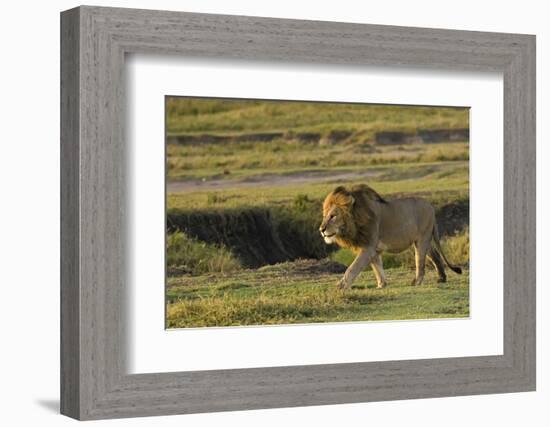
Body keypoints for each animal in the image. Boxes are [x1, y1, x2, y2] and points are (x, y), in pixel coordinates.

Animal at [322, 185, 464, 290]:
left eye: (333, 216)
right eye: (325, 216)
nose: (321, 230)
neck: (355, 221)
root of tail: (431, 207)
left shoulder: (367, 247)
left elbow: (352, 268)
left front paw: (340, 287)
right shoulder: (373, 249)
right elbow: (377, 268)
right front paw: (381, 285)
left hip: (422, 239)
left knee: (420, 262)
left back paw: (416, 282)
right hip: (424, 240)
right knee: (435, 255)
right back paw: (441, 278)